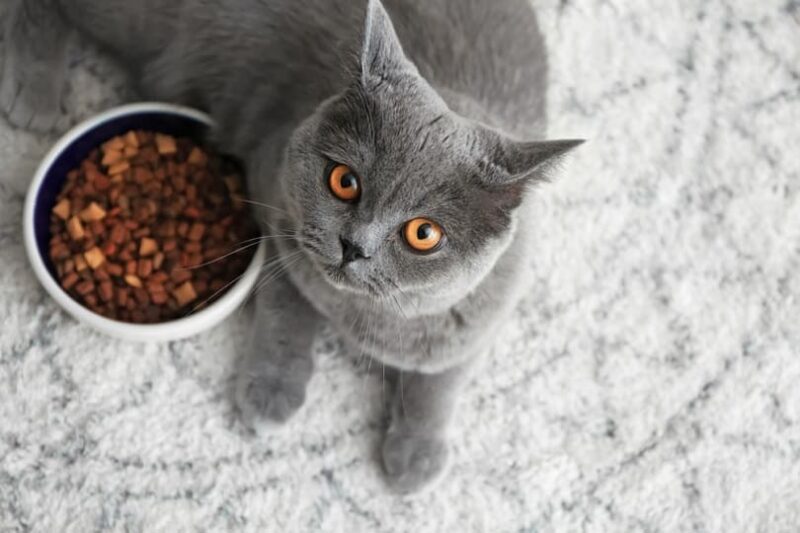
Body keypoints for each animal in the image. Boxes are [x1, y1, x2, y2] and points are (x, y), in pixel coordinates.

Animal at [4, 0, 580, 492]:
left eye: (424, 233)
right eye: (344, 181)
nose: (354, 246)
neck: (357, 313)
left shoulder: (481, 314)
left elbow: (440, 380)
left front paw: (417, 456)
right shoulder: (274, 205)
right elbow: (289, 309)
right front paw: (273, 392)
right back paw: (34, 93)